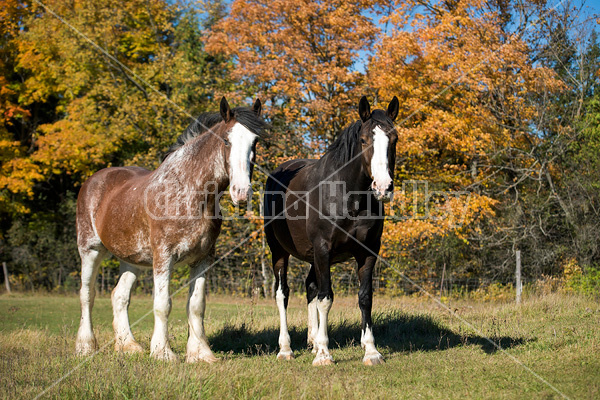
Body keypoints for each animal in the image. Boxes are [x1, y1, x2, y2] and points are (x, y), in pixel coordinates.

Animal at [74, 97, 266, 362]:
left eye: (255, 142)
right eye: (226, 140)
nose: (242, 192)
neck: (189, 192)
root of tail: (94, 180)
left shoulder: (203, 259)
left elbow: (196, 305)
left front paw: (200, 353)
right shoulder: (164, 256)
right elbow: (163, 304)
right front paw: (163, 352)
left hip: (132, 260)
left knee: (119, 296)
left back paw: (128, 346)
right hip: (90, 249)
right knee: (87, 295)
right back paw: (85, 346)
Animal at [264, 96, 398, 366]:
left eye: (395, 139)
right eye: (364, 140)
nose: (383, 187)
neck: (347, 196)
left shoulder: (367, 252)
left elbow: (365, 297)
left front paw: (371, 351)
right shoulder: (323, 249)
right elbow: (326, 298)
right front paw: (324, 354)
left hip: (312, 256)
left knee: (310, 287)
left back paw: (313, 341)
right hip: (279, 251)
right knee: (283, 294)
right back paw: (286, 349)